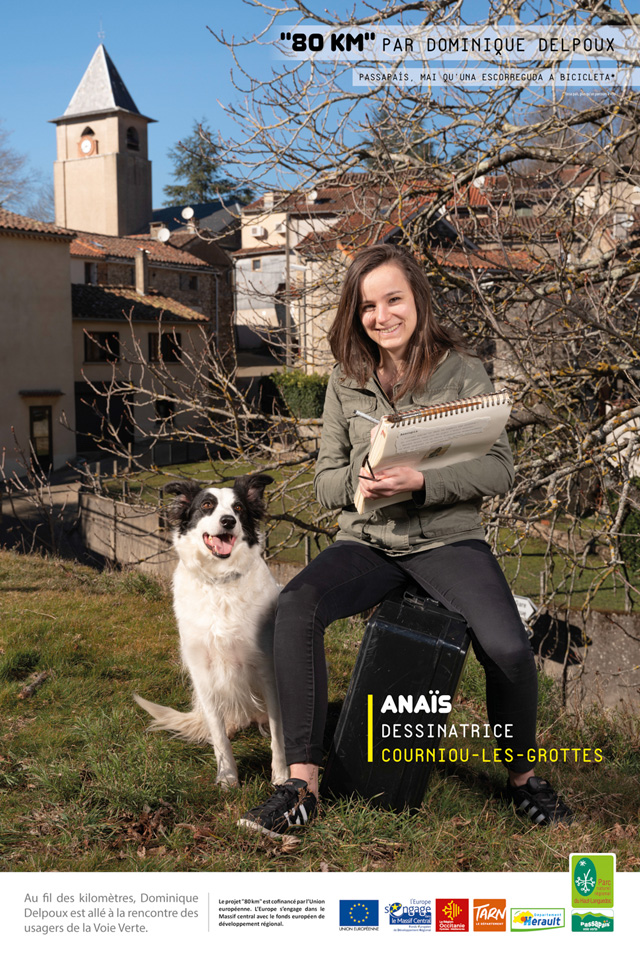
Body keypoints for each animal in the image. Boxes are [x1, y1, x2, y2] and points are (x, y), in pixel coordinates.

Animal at [134, 476, 288, 792]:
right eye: (207, 505)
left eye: (239, 508)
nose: (228, 521)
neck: (220, 581)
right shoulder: (203, 673)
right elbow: (219, 736)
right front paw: (228, 777)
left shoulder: (268, 670)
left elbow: (279, 734)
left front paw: (281, 777)